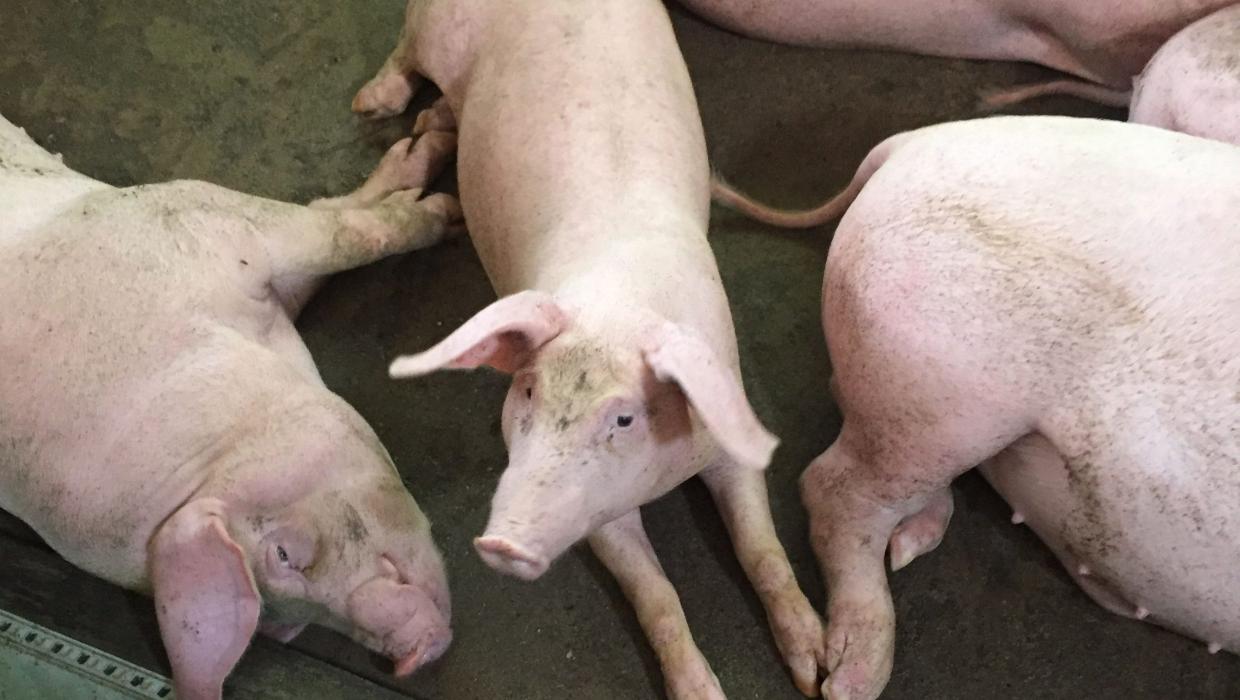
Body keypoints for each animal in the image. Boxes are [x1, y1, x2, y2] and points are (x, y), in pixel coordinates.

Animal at [0, 115, 461, 700]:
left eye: (283, 555)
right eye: (288, 624)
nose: (408, 655)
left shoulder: (200, 218)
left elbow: (342, 227)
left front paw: (440, 197)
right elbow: (345, 230)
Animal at [351, 1, 827, 697]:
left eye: (624, 418)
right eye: (526, 391)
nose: (503, 545)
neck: (616, 305)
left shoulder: (729, 437)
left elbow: (762, 552)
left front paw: (816, 671)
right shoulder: (599, 520)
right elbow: (657, 597)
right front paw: (705, 690)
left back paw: (425, 125)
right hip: (436, 25)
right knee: (407, 49)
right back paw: (373, 105)